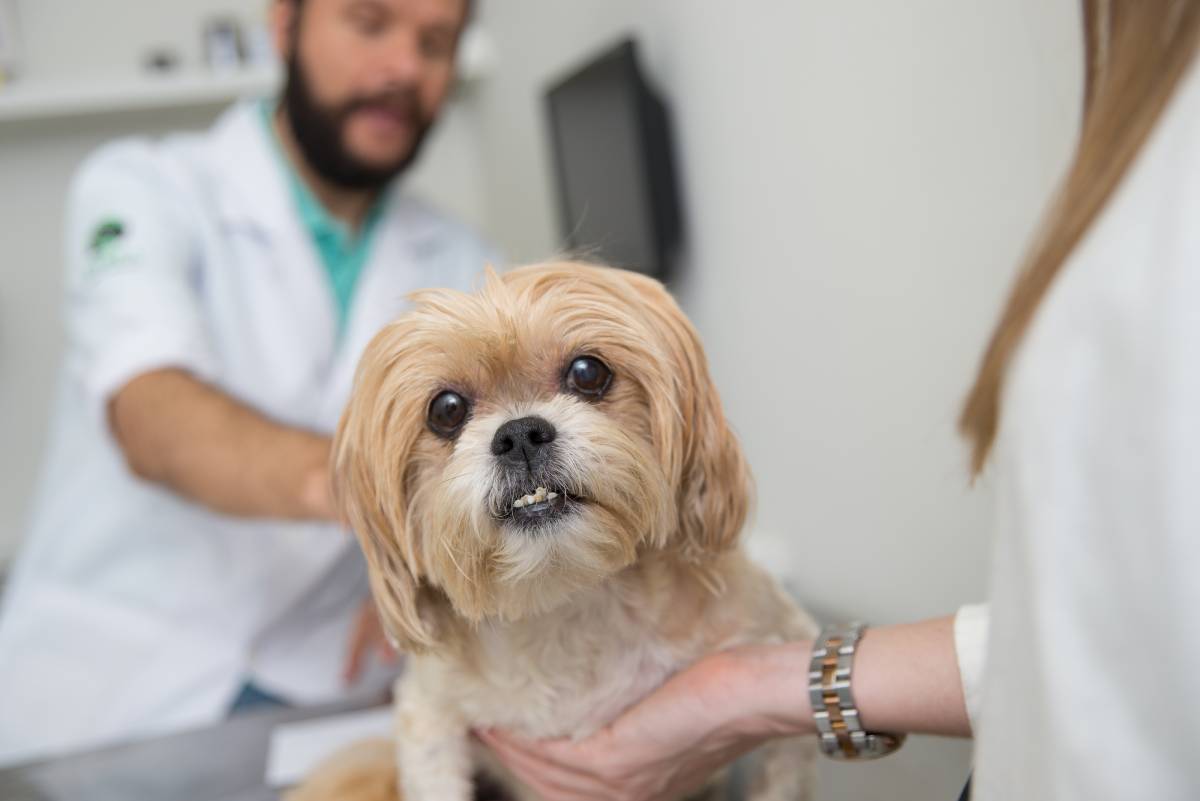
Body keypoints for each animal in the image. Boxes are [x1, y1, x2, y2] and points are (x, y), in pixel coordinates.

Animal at [297, 263, 816, 801]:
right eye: (446, 409)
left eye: (588, 372)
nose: (519, 435)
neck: (565, 601)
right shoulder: (427, 714)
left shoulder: (780, 646)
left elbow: (784, 774)